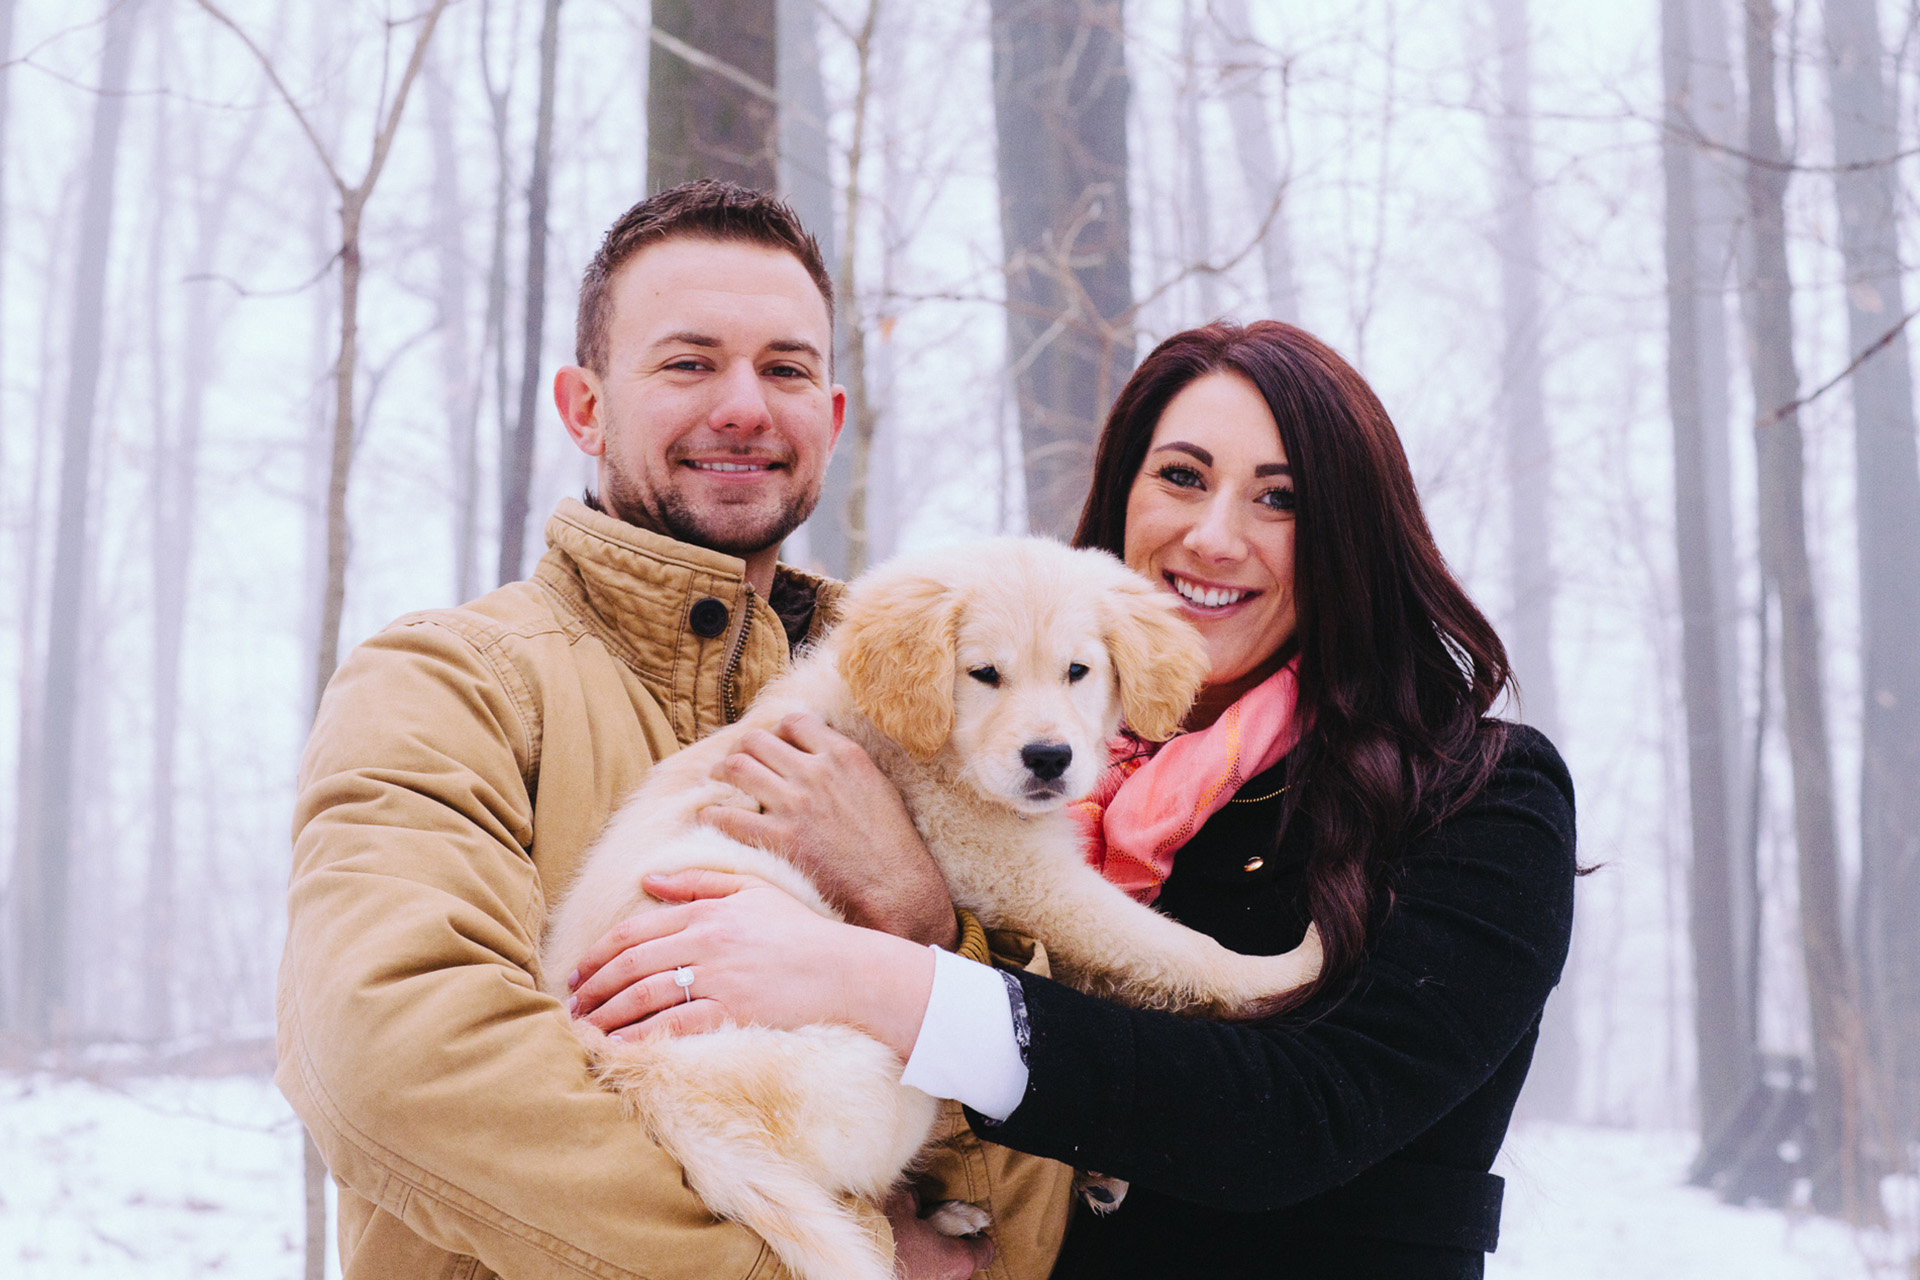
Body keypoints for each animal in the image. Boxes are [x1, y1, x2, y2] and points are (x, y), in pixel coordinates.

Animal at [537, 537, 1320, 1280]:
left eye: (1078, 671)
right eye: (984, 674)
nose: (1049, 758)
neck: (925, 746)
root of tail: (640, 1082)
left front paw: (1102, 1165)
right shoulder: (1016, 873)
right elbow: (1176, 947)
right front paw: (1297, 963)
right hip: (890, 1076)